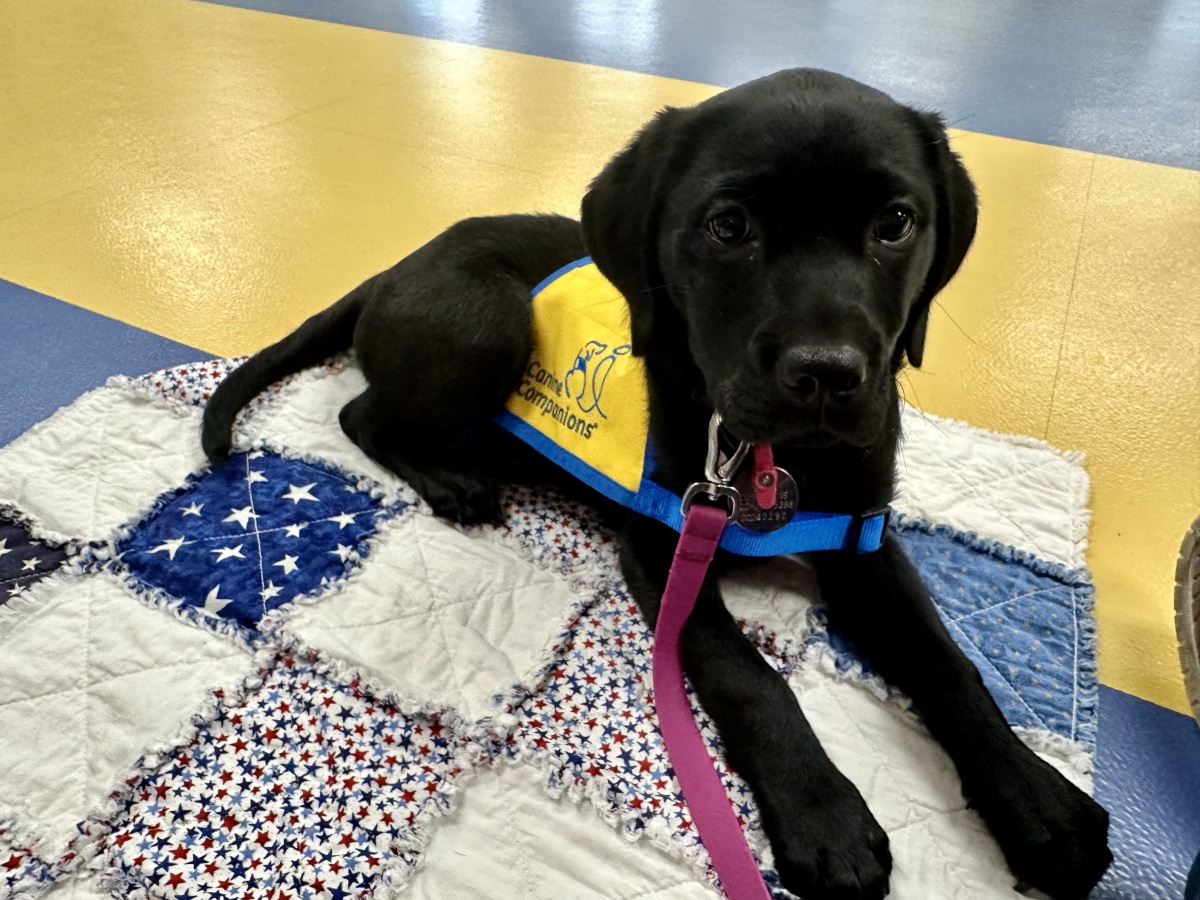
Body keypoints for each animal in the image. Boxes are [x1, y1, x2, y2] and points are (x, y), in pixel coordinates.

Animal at [201, 72, 1108, 900]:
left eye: (895, 223)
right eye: (728, 226)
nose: (827, 374)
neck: (770, 454)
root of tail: (399, 263)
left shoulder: (865, 541)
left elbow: (950, 665)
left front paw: (1038, 802)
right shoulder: (664, 548)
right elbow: (751, 676)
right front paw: (825, 817)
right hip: (491, 320)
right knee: (361, 413)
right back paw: (454, 480)